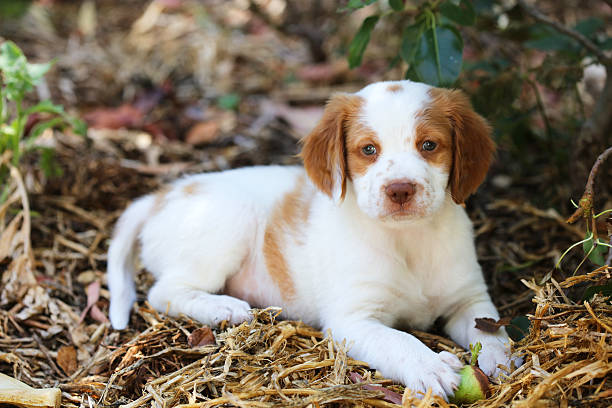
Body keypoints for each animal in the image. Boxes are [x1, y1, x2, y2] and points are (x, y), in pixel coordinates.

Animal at [107, 80, 520, 398]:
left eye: (429, 145)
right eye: (368, 150)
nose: (400, 190)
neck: (408, 241)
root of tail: (160, 196)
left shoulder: (469, 299)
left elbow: (491, 329)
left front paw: (504, 359)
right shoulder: (352, 320)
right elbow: (398, 340)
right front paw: (431, 367)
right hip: (228, 223)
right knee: (164, 291)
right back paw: (224, 307)